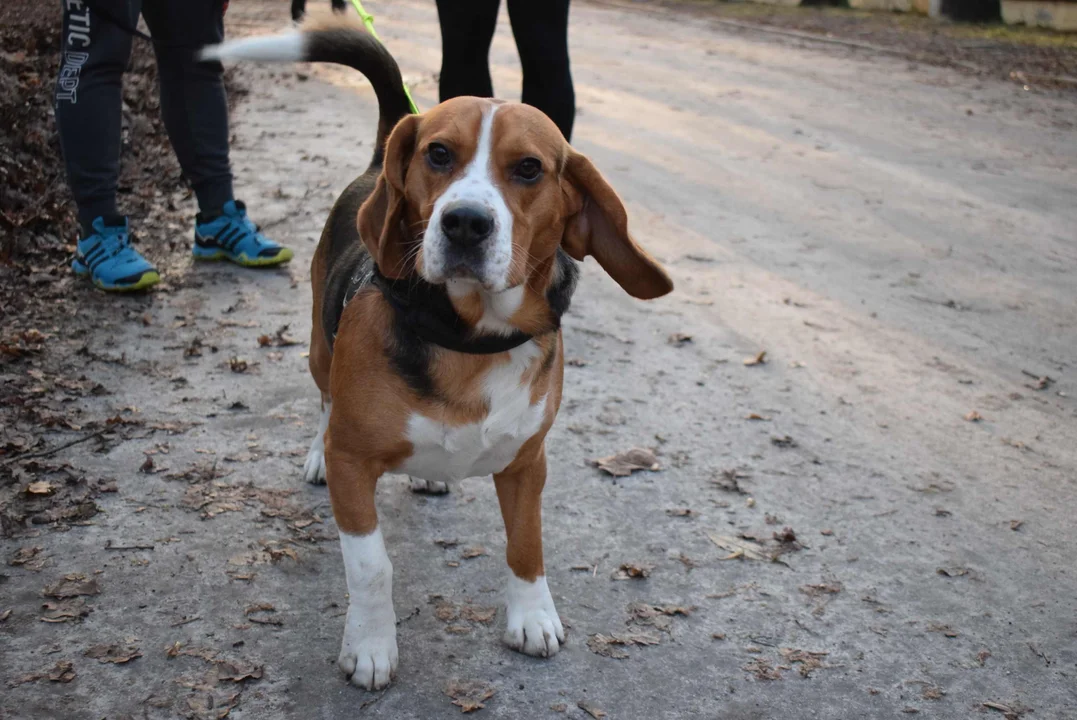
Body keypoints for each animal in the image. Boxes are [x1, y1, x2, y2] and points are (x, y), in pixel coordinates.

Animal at [202, 15, 667, 688]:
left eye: (529, 168)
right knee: (323, 399)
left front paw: (532, 617)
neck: (471, 339)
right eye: (438, 154)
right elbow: (371, 566)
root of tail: (377, 163)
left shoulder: (528, 462)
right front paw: (371, 647)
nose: (466, 222)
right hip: (319, 348)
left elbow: (527, 545)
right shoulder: (354, 464)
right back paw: (317, 451)